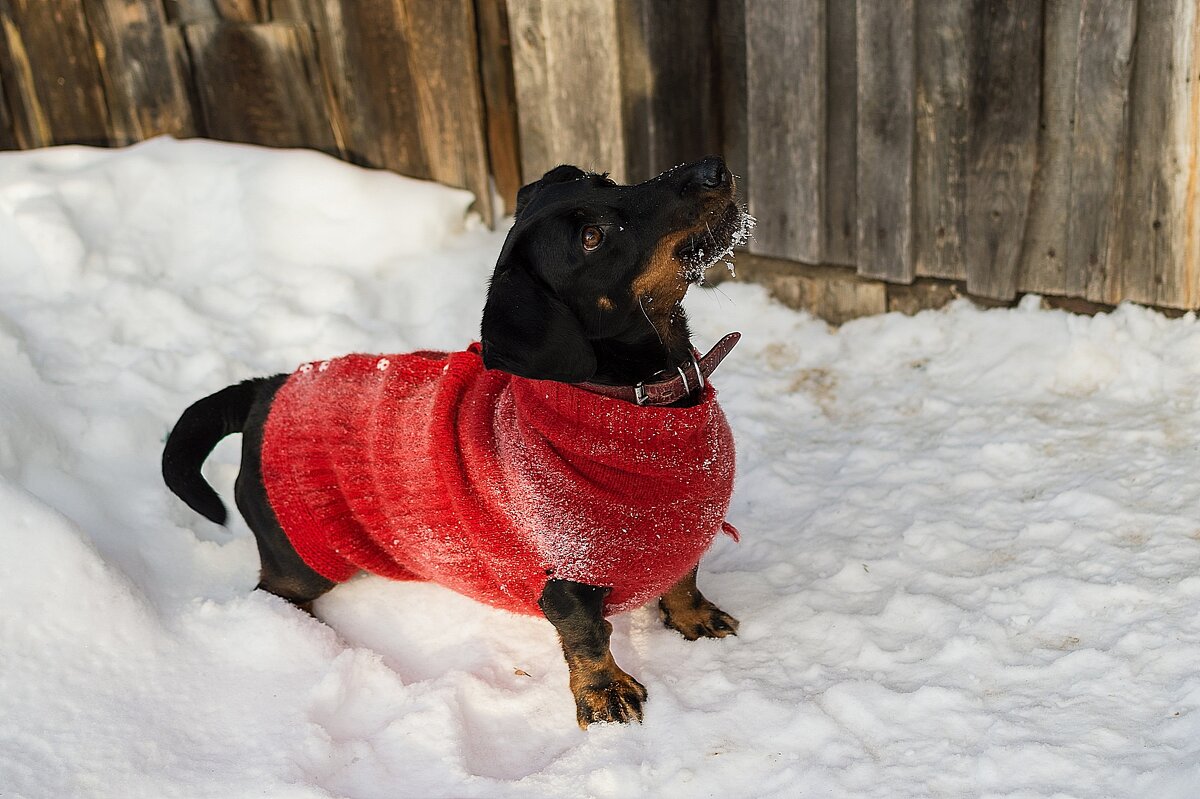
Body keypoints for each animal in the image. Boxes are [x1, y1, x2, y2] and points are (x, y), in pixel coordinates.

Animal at [164, 153, 753, 719]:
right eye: (593, 238)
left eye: (607, 180)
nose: (713, 167)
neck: (629, 401)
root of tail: (267, 390)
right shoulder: (564, 579)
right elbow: (586, 636)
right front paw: (603, 693)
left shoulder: (683, 536)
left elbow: (684, 579)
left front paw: (696, 617)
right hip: (299, 557)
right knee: (275, 592)